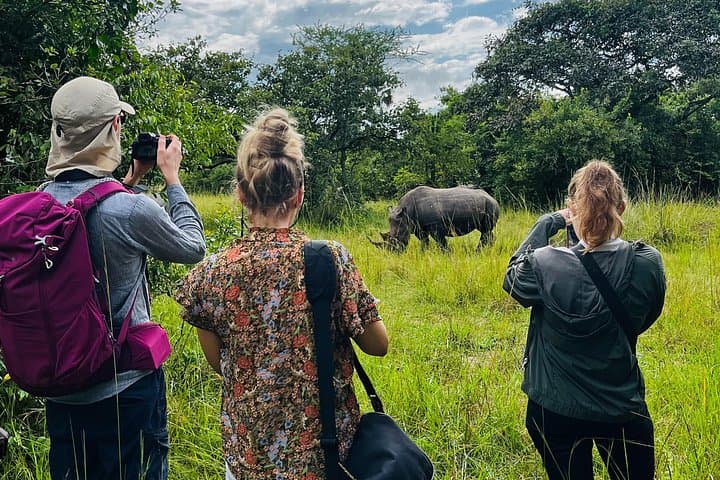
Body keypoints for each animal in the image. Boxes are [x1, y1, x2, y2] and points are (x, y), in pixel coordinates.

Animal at [371, 186, 500, 252]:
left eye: (397, 237)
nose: (392, 253)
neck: (406, 213)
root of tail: (492, 197)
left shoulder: (436, 228)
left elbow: (442, 244)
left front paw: (447, 255)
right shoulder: (418, 228)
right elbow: (425, 242)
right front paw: (424, 254)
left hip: (490, 205)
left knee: (486, 230)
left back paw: (478, 252)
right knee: (485, 231)